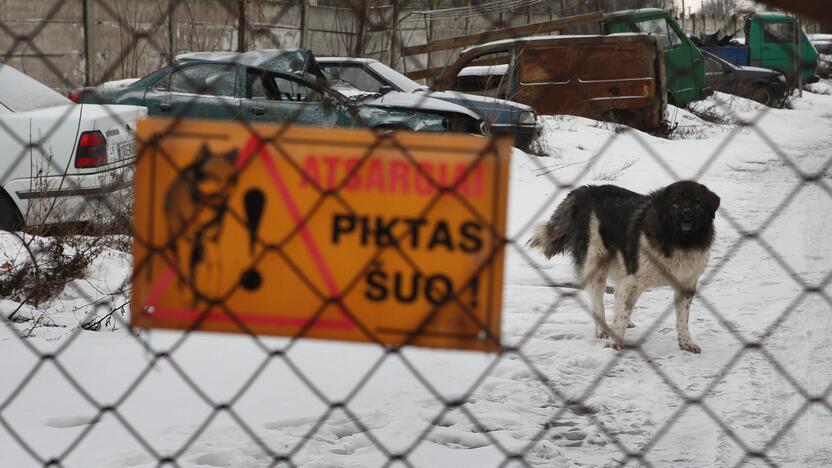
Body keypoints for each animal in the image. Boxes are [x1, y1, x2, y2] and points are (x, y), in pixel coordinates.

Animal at [528, 181, 720, 352]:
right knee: (598, 301)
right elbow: (621, 311)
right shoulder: (634, 279)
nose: (687, 214)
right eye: (675, 202)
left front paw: (686, 342)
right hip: (597, 263)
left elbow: (683, 318)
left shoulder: (686, 285)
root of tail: (586, 190)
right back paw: (603, 330)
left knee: (617, 297)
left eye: (697, 202)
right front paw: (615, 343)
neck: (680, 242)